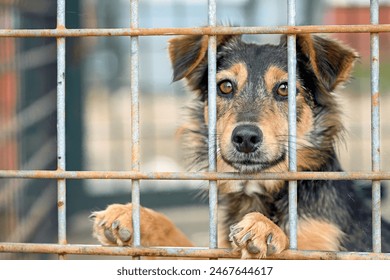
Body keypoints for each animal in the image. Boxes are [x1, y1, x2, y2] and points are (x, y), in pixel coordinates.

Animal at [90, 32, 390, 258]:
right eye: (225, 86)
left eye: (284, 88)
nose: (245, 137)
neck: (256, 190)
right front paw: (134, 215)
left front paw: (265, 229)